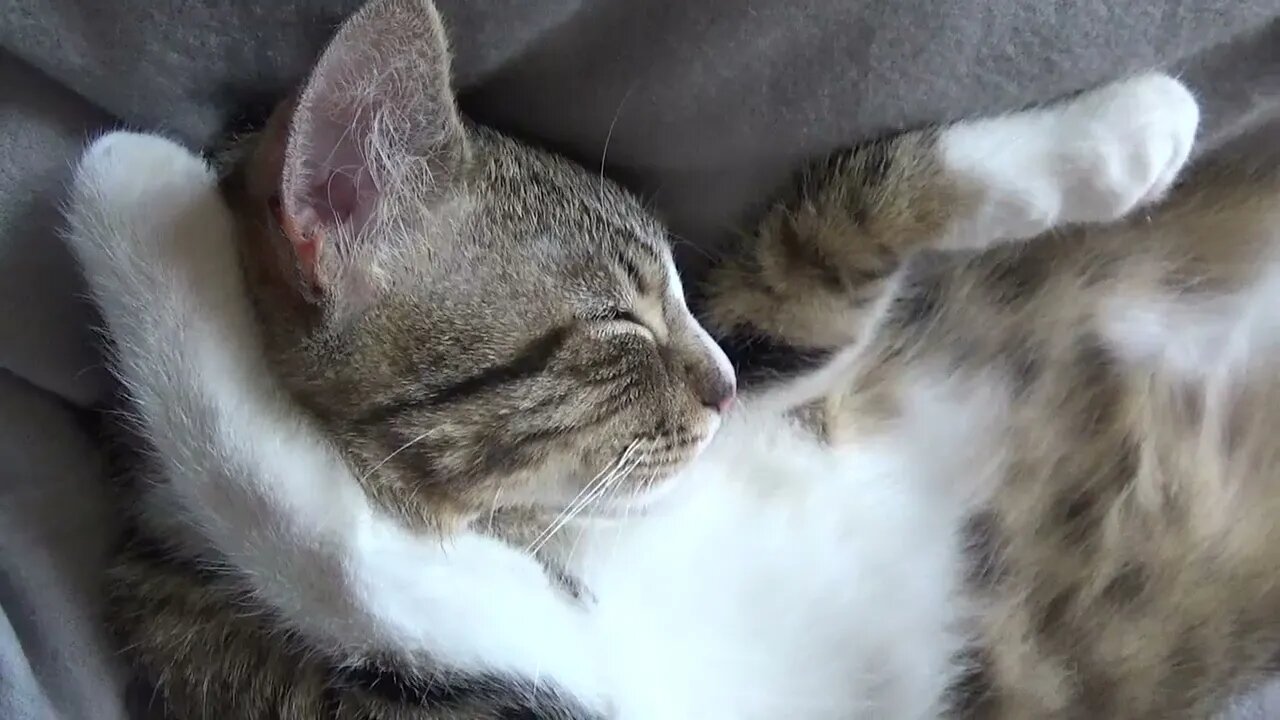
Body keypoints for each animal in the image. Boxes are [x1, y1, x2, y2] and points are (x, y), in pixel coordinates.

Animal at [62, 0, 1280, 712]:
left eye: (675, 296)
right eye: (617, 323)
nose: (722, 387)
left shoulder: (774, 370)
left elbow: (822, 243)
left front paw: (1122, 131)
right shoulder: (570, 667)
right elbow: (334, 539)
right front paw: (131, 197)